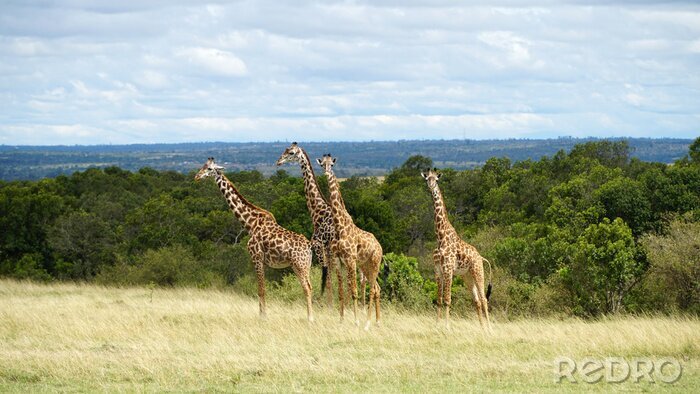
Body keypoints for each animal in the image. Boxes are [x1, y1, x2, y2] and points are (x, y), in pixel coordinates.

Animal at [197, 159, 314, 322]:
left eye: (209, 169)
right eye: (202, 166)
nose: (197, 176)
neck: (250, 224)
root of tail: (309, 246)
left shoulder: (256, 257)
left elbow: (261, 289)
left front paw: (263, 316)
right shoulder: (261, 261)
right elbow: (262, 288)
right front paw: (262, 315)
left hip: (300, 264)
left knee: (307, 288)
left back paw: (310, 318)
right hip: (303, 265)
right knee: (309, 287)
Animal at [274, 142, 344, 308]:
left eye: (291, 152)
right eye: (285, 150)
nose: (278, 162)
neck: (317, 211)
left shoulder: (318, 244)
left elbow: (327, 277)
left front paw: (328, 306)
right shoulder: (326, 247)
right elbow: (329, 276)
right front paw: (331, 304)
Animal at [318, 154, 382, 330]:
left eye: (332, 164)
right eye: (322, 164)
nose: (326, 173)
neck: (340, 227)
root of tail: (380, 246)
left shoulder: (351, 259)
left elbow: (354, 291)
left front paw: (356, 321)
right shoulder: (338, 260)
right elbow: (341, 291)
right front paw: (341, 320)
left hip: (374, 262)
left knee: (373, 289)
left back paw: (367, 323)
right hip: (365, 265)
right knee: (377, 288)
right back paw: (377, 321)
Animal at [422, 168, 492, 330]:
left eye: (436, 179)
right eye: (427, 178)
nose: (431, 186)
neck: (440, 237)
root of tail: (481, 257)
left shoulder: (448, 269)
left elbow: (448, 299)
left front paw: (447, 326)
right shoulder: (438, 271)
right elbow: (439, 299)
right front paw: (437, 325)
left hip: (478, 271)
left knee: (484, 299)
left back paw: (490, 329)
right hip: (467, 276)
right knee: (477, 301)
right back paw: (482, 328)